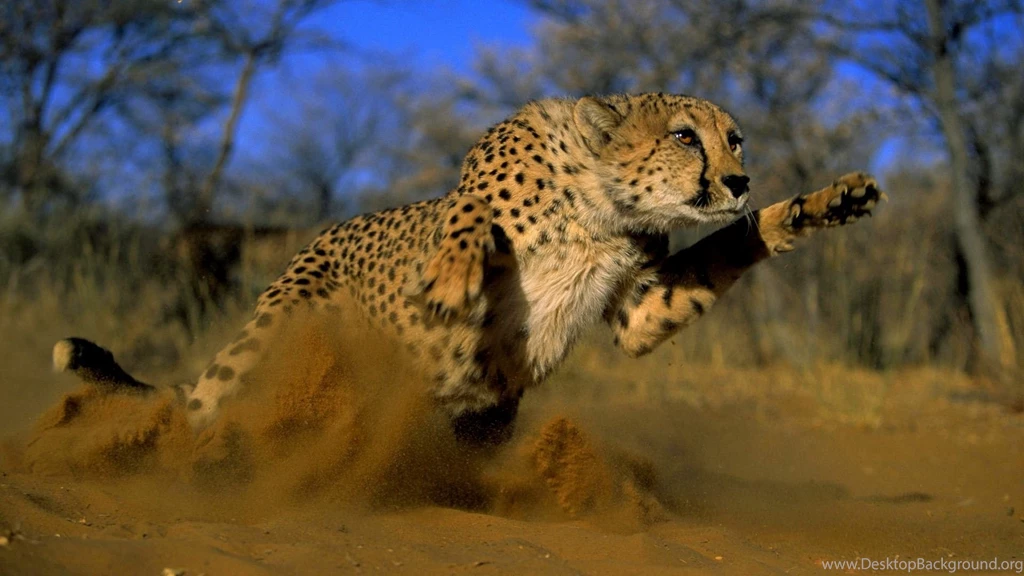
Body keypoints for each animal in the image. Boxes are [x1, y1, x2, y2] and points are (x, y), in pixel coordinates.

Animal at [53, 93, 886, 448]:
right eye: (685, 136)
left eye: (735, 139)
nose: (740, 180)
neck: (601, 206)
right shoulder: (474, 185)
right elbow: (467, 217)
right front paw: (455, 281)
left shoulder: (640, 308)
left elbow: (732, 246)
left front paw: (823, 203)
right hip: (276, 329)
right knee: (206, 406)